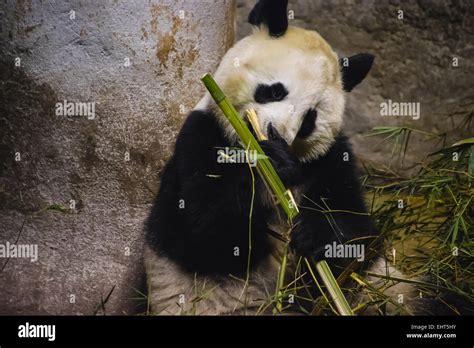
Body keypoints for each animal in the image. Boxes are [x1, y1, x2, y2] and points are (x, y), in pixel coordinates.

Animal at [145, 0, 422, 316]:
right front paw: (270, 162)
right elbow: (208, 234)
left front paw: (314, 234)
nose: (274, 134)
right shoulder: (200, 138)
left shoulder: (330, 159)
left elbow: (359, 236)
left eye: (310, 119)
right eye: (275, 91)